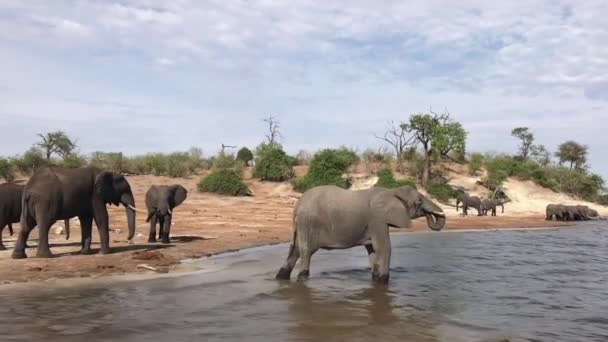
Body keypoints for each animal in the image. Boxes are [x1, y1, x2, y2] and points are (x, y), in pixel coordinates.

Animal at [276, 186, 446, 284]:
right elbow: (384, 248)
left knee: (295, 250)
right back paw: (302, 278)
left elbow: (373, 250)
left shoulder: (374, 223)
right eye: (419, 201)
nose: (430, 215)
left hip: (301, 226)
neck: (392, 190)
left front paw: (376, 280)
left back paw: (280, 278)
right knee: (305, 251)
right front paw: (383, 282)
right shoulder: (378, 219)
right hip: (308, 223)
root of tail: (297, 205)